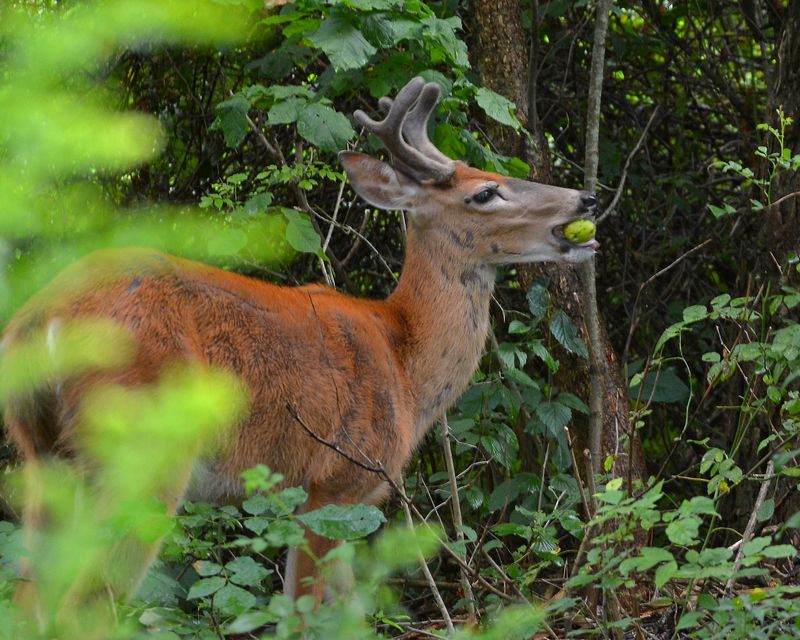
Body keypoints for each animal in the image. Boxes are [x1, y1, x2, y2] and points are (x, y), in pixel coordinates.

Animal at [1, 77, 598, 608]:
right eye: (486, 192)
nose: (586, 199)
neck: (404, 358)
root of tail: (43, 318)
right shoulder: (333, 482)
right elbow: (303, 612)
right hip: (143, 454)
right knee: (87, 601)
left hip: (45, 457)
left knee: (31, 595)